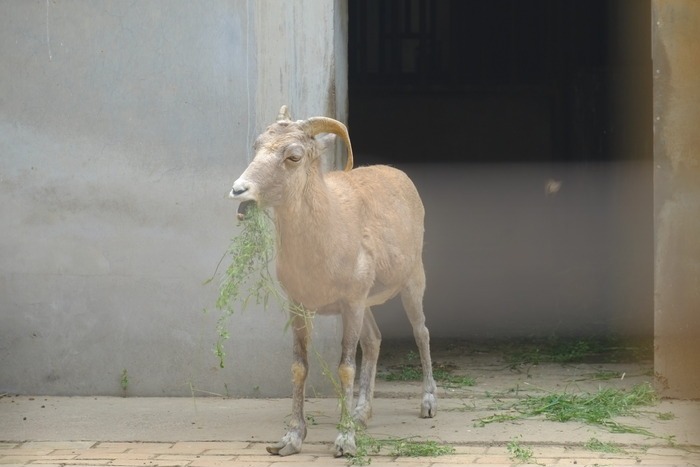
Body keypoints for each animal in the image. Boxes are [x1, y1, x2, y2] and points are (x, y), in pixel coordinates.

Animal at [230, 105, 438, 458]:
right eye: (257, 146)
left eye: (294, 156)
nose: (239, 189)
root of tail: (400, 176)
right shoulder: (301, 307)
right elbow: (299, 366)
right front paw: (289, 440)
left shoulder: (351, 302)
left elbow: (345, 367)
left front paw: (344, 441)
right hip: (367, 304)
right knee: (374, 340)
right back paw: (362, 413)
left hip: (412, 282)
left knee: (420, 332)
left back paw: (427, 403)